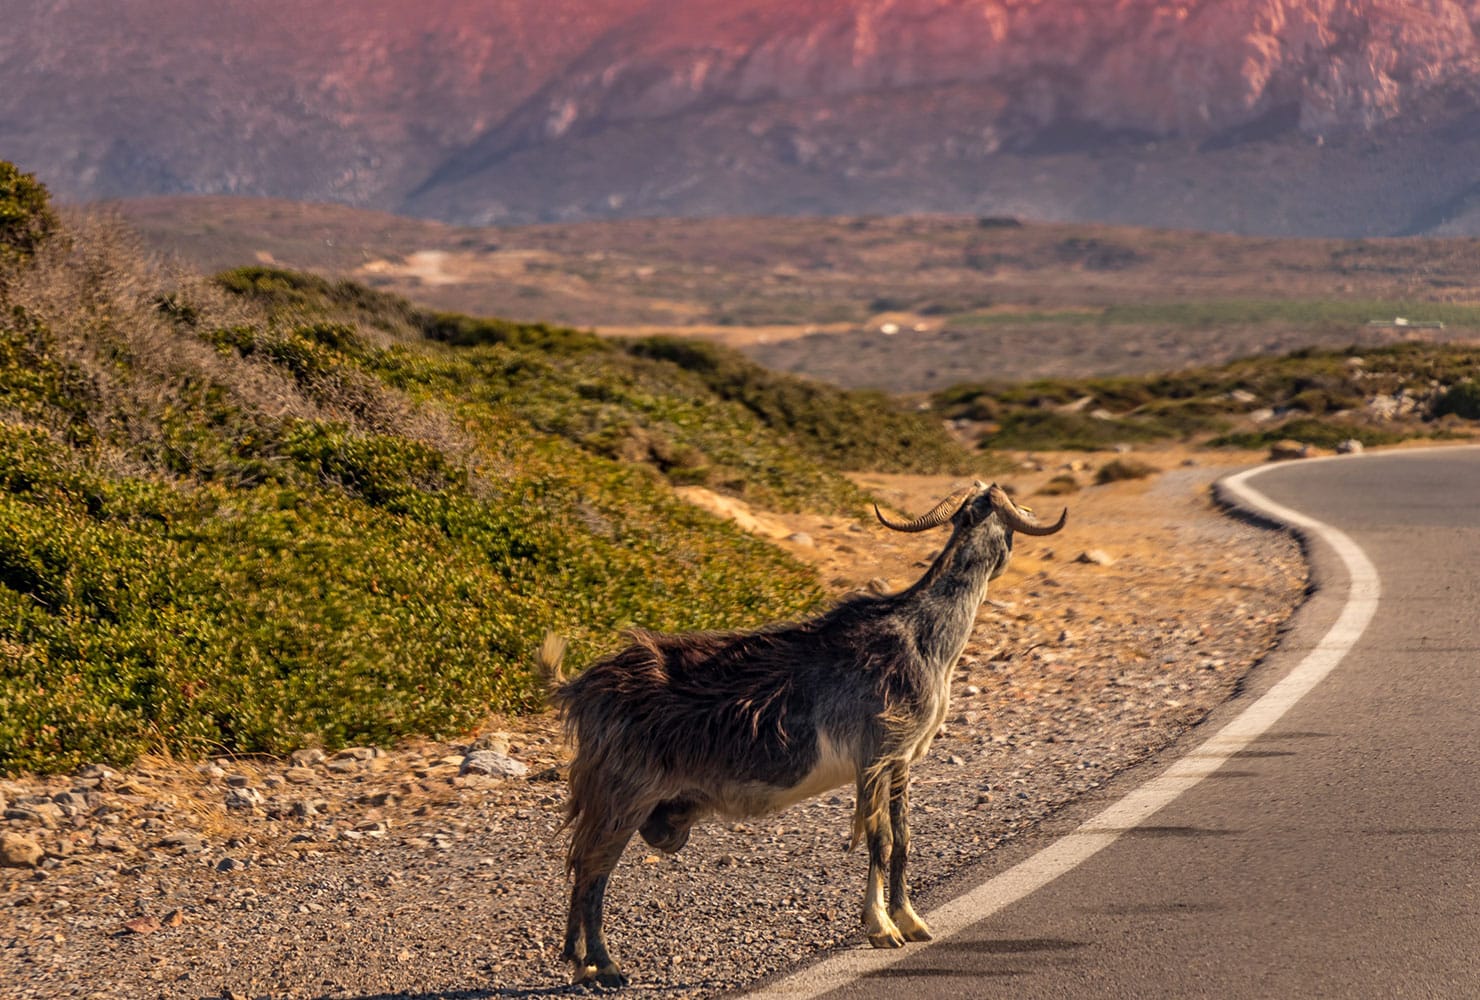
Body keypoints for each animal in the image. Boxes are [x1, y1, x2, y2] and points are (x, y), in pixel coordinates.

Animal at [550, 481, 1066, 986]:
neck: (921, 634)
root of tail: (582, 689)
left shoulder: (901, 760)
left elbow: (902, 837)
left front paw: (911, 920)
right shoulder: (875, 754)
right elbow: (878, 838)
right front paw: (881, 928)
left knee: (581, 863)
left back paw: (579, 964)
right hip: (625, 792)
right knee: (593, 868)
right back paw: (605, 967)